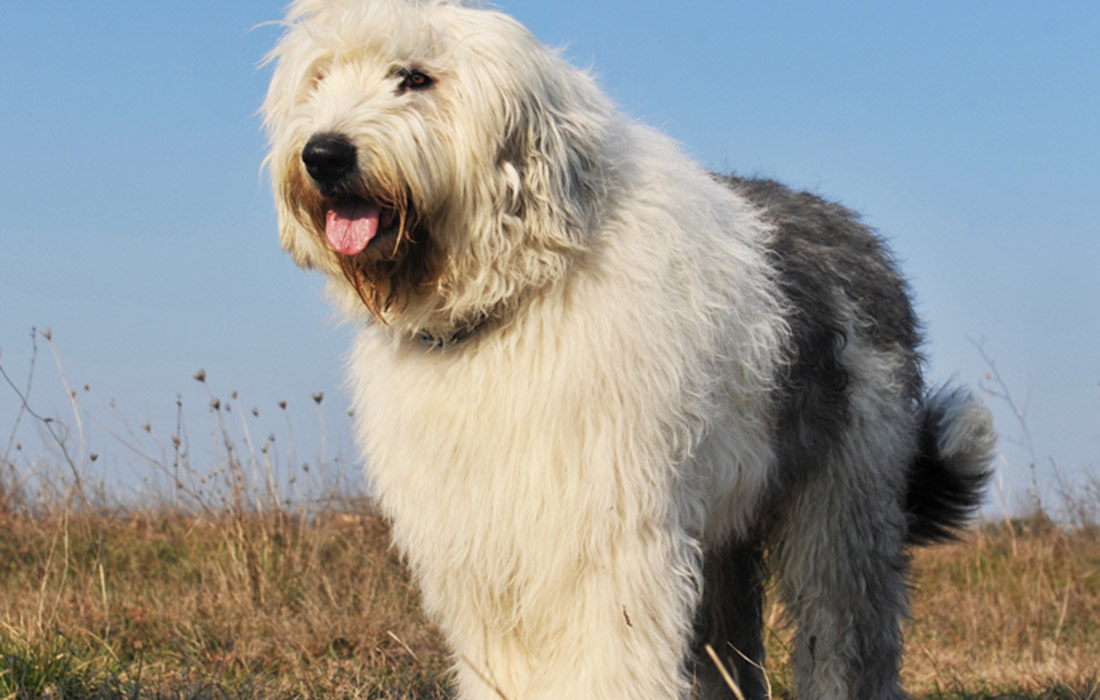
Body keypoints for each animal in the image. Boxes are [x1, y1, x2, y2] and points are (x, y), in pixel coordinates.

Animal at [259, 2, 998, 695]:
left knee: (842, 630)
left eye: (415, 77)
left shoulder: (605, 539)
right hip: (723, 529)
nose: (324, 155)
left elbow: (606, 658)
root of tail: (855, 229)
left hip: (844, 500)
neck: (514, 296)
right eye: (319, 78)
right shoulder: (482, 550)